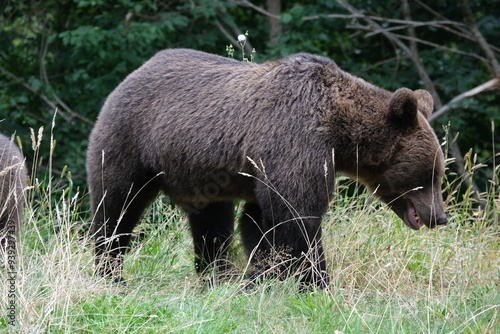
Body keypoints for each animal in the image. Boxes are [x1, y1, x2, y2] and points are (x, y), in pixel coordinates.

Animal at [87, 49, 450, 288]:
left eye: (438, 173)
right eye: (428, 175)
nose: (440, 217)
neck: (340, 133)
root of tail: (134, 73)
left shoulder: (266, 168)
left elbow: (260, 223)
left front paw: (262, 276)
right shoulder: (294, 141)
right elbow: (297, 217)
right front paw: (315, 282)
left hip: (201, 171)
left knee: (211, 223)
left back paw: (216, 275)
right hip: (130, 142)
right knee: (117, 206)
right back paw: (111, 274)